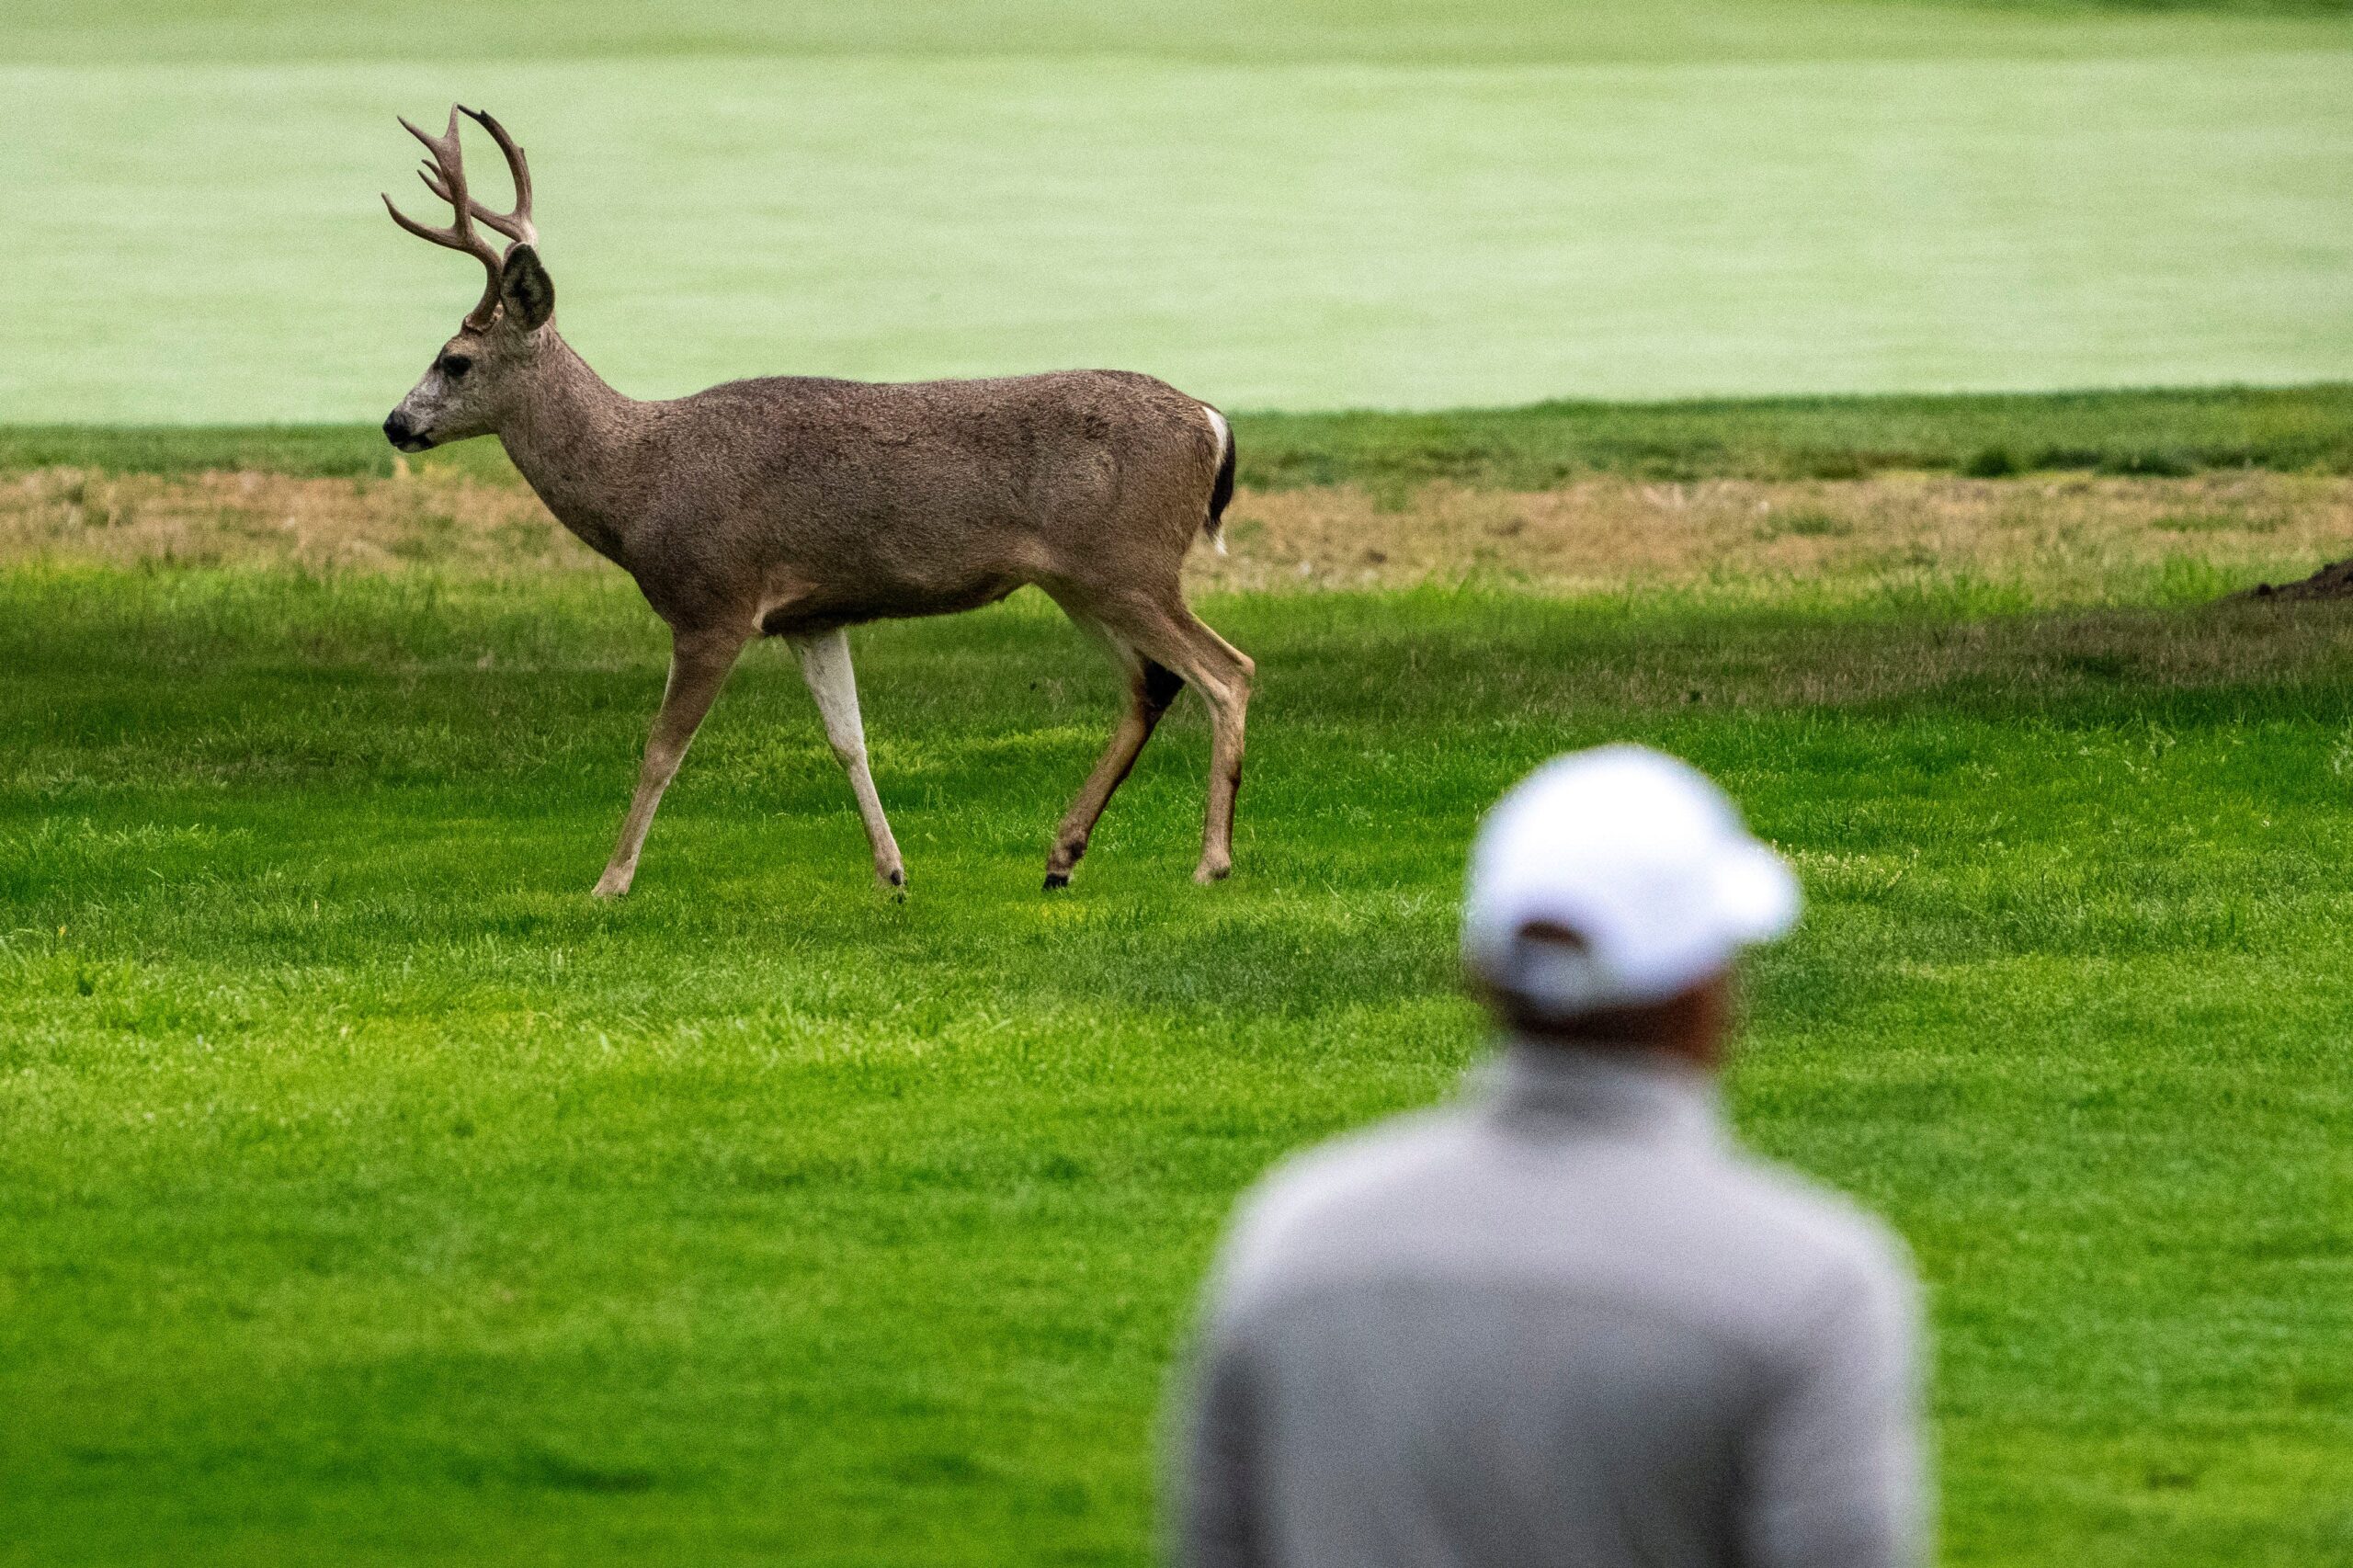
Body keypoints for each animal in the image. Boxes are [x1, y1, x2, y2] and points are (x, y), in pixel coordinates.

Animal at [381, 107, 1251, 890]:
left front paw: (610, 881)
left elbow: (662, 750)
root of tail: (1213, 421)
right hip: (1080, 577)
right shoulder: (812, 613)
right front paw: (892, 871)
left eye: (454, 360)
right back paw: (1061, 858)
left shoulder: (714, 601)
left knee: (1228, 672)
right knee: (1153, 684)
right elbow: (849, 740)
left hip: (1128, 563)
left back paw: (1210, 862)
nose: (394, 422)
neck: (637, 483)